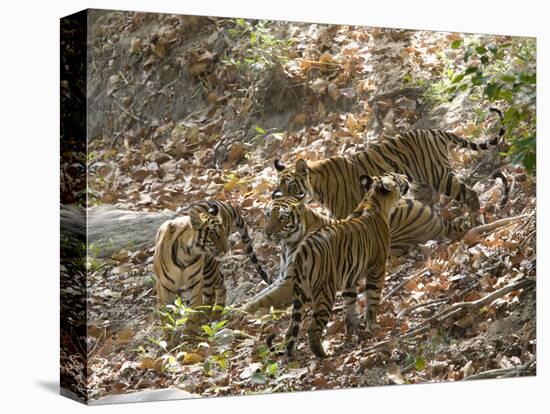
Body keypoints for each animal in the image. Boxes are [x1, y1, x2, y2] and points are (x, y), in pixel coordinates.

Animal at [154, 199, 270, 332]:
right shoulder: (164, 286)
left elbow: (194, 308)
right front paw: (169, 334)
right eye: (214, 234)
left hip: (208, 269)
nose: (227, 250)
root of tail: (219, 202)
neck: (186, 255)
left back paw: (212, 316)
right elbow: (165, 313)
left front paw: (189, 332)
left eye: (223, 233)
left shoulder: (195, 282)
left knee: (215, 289)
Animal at [244, 189, 468, 312]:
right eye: (267, 215)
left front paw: (239, 314)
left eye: (282, 218)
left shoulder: (291, 281)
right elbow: (257, 296)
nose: (266, 233)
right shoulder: (282, 278)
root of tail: (436, 215)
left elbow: (260, 301)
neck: (287, 245)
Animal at [270, 173, 410, 358]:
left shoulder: (349, 278)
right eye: (396, 177)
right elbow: (372, 300)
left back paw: (291, 352)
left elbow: (350, 307)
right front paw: (373, 326)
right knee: (312, 328)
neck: (373, 201)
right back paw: (323, 354)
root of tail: (302, 250)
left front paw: (353, 332)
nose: (406, 176)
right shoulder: (377, 268)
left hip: (301, 292)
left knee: (291, 329)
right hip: (325, 291)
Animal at [274, 106, 504, 223]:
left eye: (291, 187)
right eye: (280, 188)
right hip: (421, 185)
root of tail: (434, 131)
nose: (282, 201)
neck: (316, 187)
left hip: (439, 175)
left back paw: (477, 221)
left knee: (470, 193)